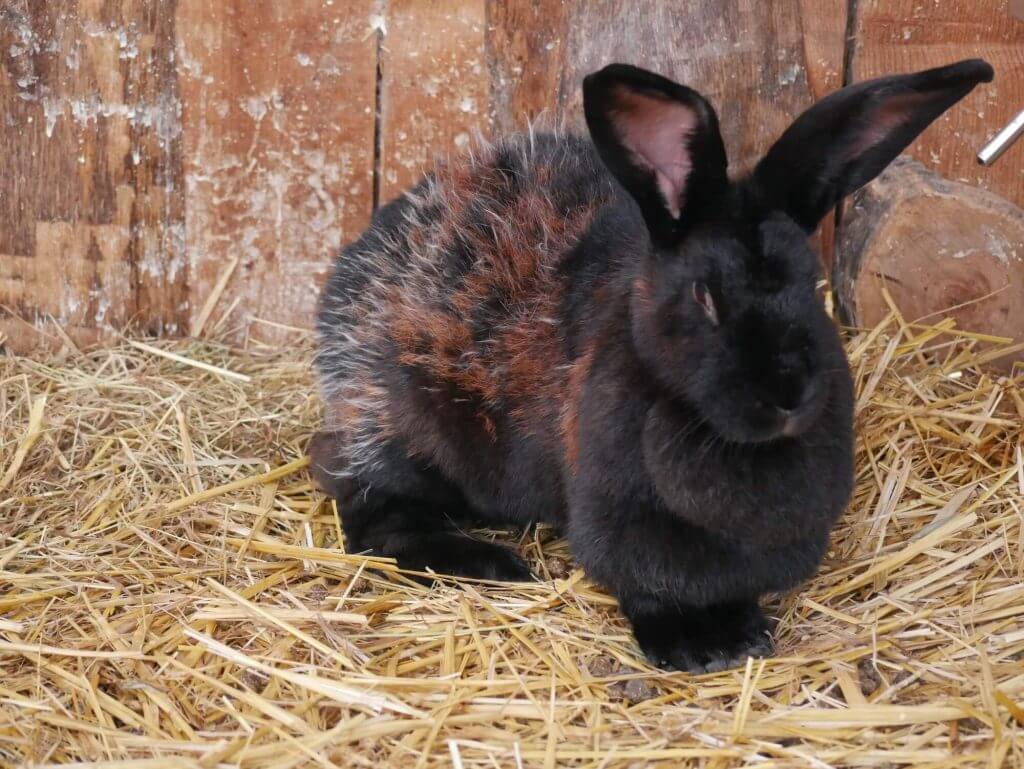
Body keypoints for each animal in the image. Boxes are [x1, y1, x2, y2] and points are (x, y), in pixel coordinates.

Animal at [309, 60, 991, 671]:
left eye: (811, 285)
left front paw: (738, 636)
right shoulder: (620, 524)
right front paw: (702, 648)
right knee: (370, 513)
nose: (787, 393)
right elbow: (651, 587)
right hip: (403, 432)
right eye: (704, 296)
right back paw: (490, 564)